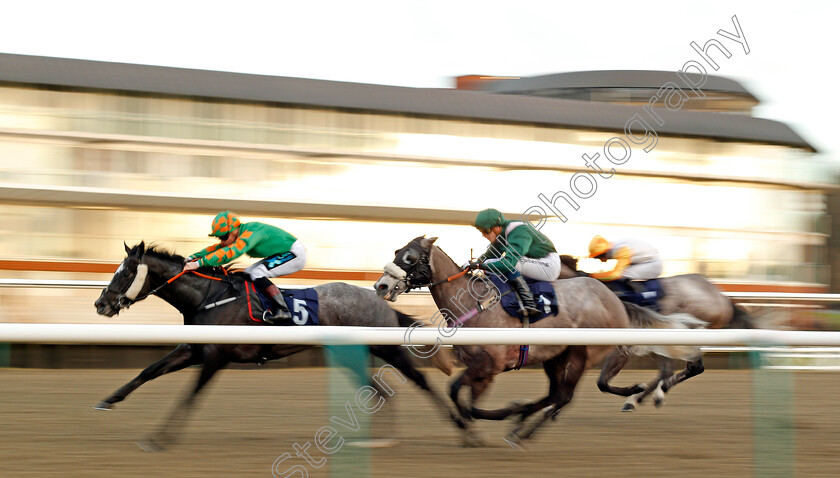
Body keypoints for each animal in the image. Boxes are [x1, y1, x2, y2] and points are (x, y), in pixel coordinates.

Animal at [95, 241, 462, 450]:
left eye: (125, 273)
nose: (101, 304)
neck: (209, 296)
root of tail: (379, 297)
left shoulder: (216, 356)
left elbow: (190, 395)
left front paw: (160, 438)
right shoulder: (194, 349)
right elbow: (149, 370)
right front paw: (107, 401)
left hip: (385, 348)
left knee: (417, 380)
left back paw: (461, 428)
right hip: (350, 353)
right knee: (380, 392)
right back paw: (378, 439)